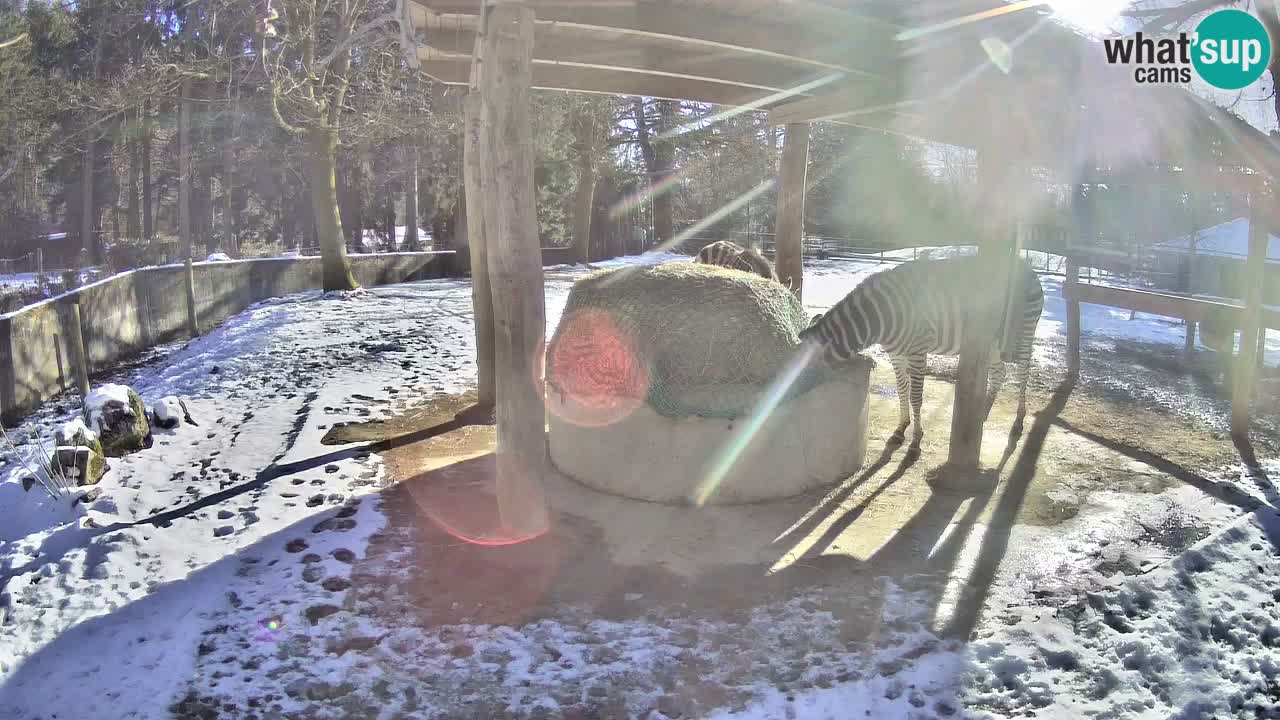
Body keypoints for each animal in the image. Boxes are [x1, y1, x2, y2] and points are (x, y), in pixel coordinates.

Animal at [793, 253, 1044, 453]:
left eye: (804, 371)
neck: (880, 319)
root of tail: (1027, 265)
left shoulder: (918, 351)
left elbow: (915, 396)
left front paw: (915, 440)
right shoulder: (895, 354)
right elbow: (901, 391)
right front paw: (900, 429)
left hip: (1025, 330)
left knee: (1023, 372)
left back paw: (1018, 422)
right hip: (990, 341)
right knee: (1000, 372)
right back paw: (982, 413)